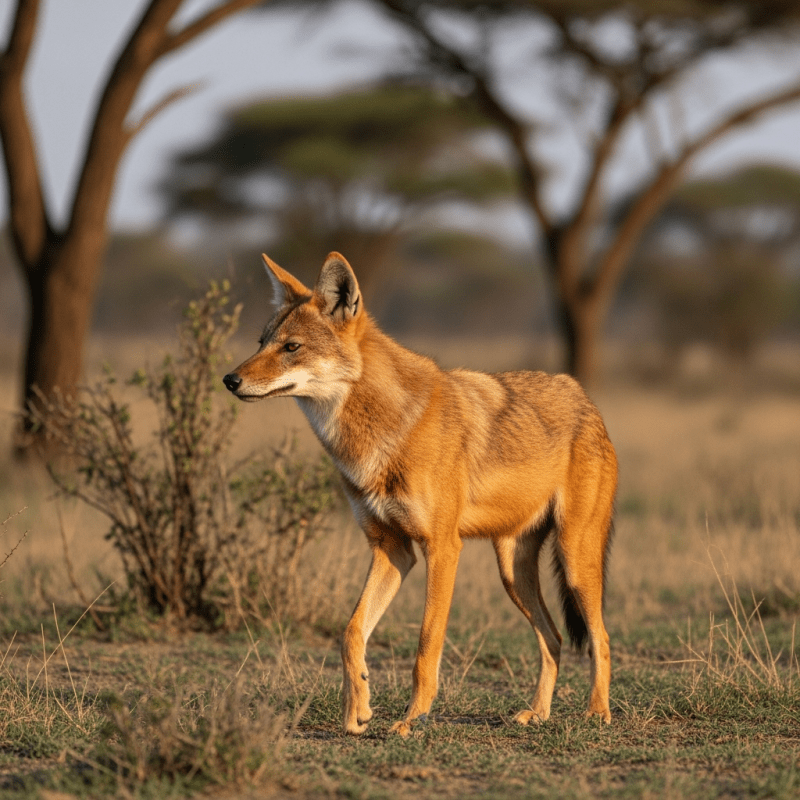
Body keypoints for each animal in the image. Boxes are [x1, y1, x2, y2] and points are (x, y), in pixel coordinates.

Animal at [223, 252, 618, 736]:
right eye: (262, 342)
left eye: (291, 347)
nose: (229, 379)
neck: (378, 435)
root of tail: (585, 398)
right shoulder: (392, 549)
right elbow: (350, 633)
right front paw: (357, 710)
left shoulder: (442, 548)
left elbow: (425, 647)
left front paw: (413, 720)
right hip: (513, 571)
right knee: (555, 637)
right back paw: (538, 713)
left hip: (576, 559)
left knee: (599, 637)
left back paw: (597, 712)